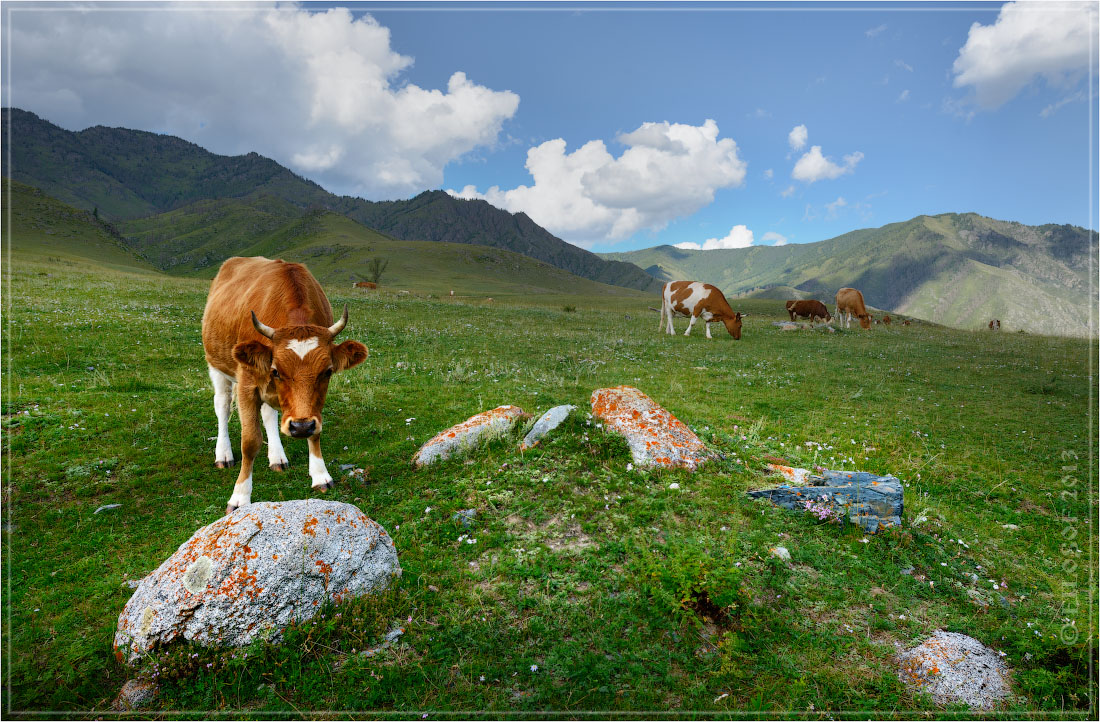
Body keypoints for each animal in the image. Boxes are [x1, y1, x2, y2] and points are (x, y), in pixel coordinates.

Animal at [206, 256, 374, 515]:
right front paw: (240, 497)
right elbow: (250, 441)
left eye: (327, 372)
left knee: (268, 414)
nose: (301, 427)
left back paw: (277, 457)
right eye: (276, 370)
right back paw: (223, 454)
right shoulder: (247, 383)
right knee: (222, 406)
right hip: (217, 365)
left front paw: (320, 475)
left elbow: (315, 431)